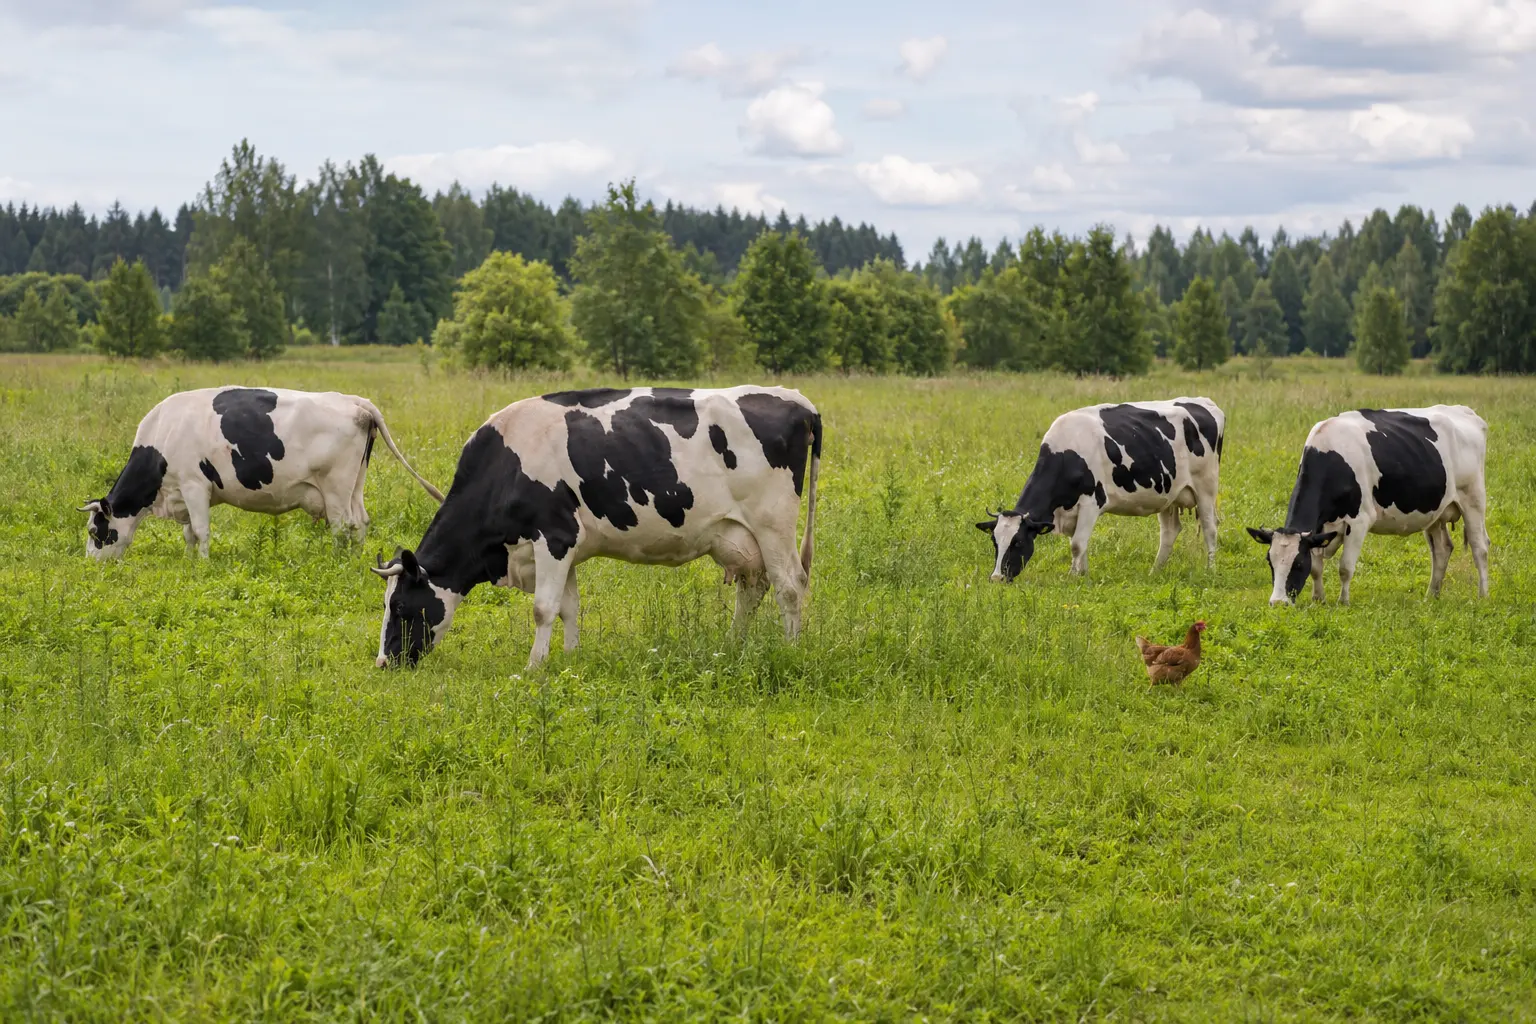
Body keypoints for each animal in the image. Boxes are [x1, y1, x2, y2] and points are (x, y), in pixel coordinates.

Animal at [81, 387, 444, 560]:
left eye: (95, 531)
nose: (91, 564)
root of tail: (354, 402)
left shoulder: (195, 485)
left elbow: (200, 531)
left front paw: (202, 564)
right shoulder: (183, 491)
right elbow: (188, 534)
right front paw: (189, 561)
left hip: (335, 487)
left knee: (343, 527)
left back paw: (336, 563)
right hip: (355, 484)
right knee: (362, 523)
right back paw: (353, 562)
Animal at [370, 385, 822, 670]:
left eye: (400, 606)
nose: (383, 662)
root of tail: (797, 400)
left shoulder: (553, 538)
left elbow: (543, 608)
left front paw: (533, 667)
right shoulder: (567, 546)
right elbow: (568, 606)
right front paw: (570, 658)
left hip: (772, 523)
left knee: (789, 585)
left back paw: (791, 649)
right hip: (740, 537)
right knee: (753, 588)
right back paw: (733, 647)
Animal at [977, 398, 1225, 582]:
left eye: (1017, 542)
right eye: (995, 542)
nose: (996, 578)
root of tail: (1204, 402)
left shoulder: (1091, 502)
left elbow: (1077, 544)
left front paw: (1073, 576)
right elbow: (1080, 544)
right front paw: (1083, 575)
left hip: (1206, 486)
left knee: (1210, 527)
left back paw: (1211, 569)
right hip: (1168, 493)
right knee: (1169, 532)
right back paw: (1155, 572)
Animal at [1247, 406, 1489, 606]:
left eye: (1297, 564)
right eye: (1270, 562)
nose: (1278, 603)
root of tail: (1465, 411)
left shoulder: (1359, 520)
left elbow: (1345, 567)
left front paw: (1343, 602)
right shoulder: (1319, 529)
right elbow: (1316, 567)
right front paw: (1318, 599)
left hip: (1473, 499)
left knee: (1480, 547)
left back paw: (1482, 596)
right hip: (1435, 511)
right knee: (1441, 550)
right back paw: (1431, 596)